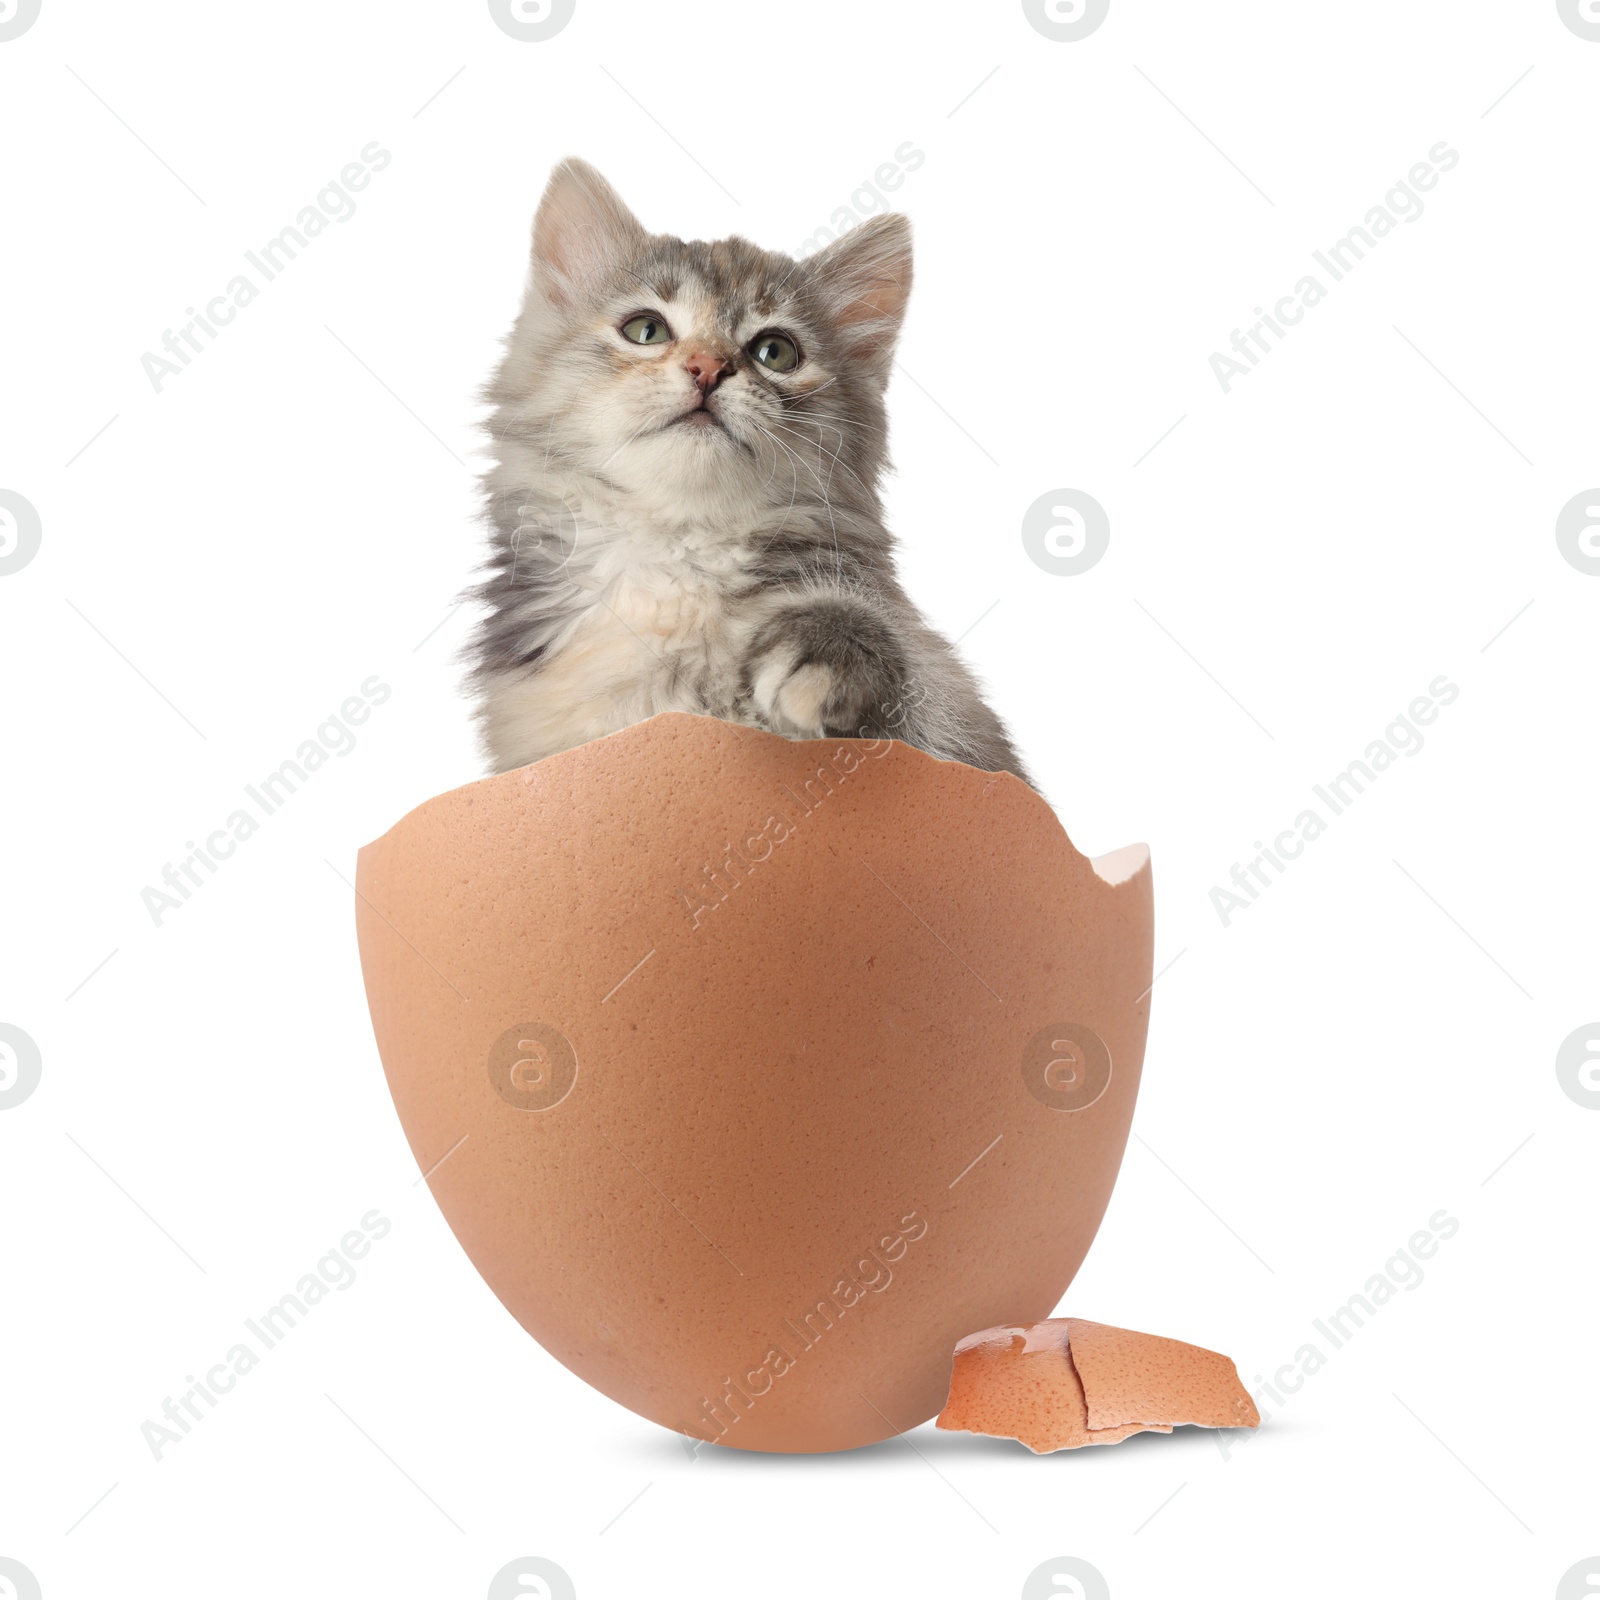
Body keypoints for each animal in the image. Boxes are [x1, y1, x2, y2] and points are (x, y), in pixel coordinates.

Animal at [467, 157, 1030, 787]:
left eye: (775, 352)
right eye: (645, 330)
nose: (707, 367)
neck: (680, 550)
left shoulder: (950, 722)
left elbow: (886, 655)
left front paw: (823, 659)